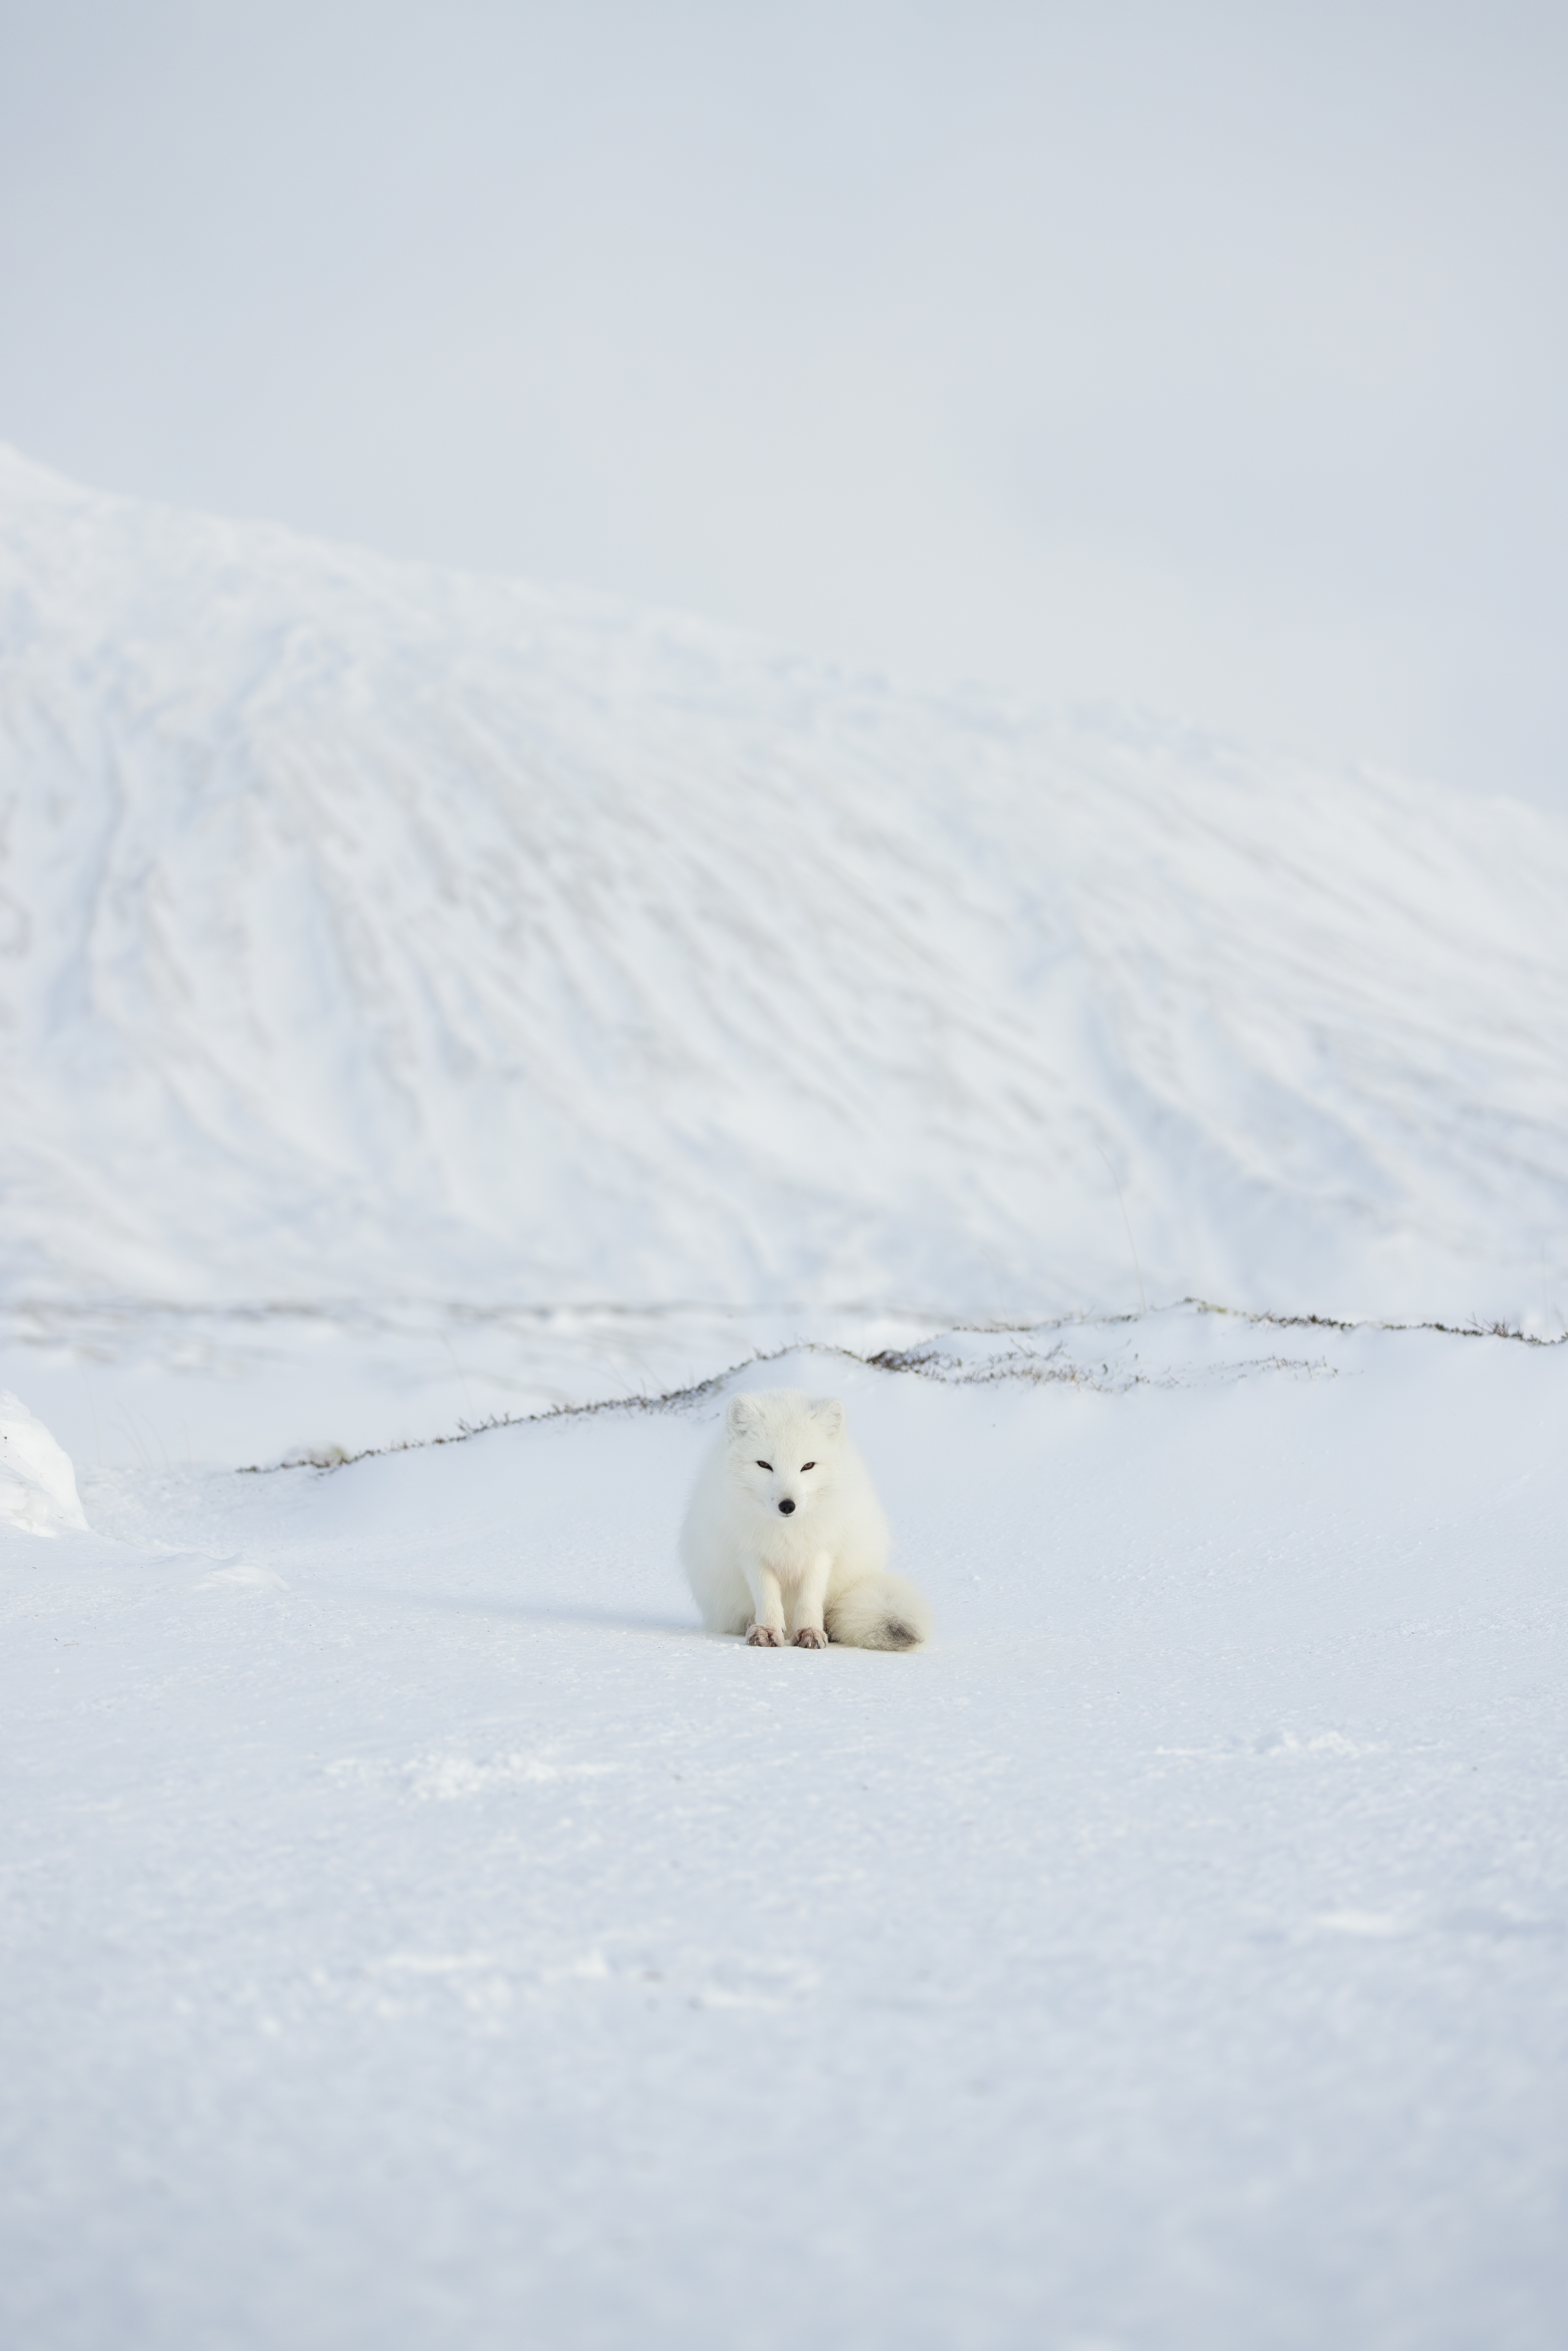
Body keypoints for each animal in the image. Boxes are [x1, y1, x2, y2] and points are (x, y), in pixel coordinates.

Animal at [680, 1388, 931, 1650]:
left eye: (808, 1466)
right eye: (764, 1465)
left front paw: (810, 1632)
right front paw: (768, 1631)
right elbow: (767, 1596)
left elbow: (810, 1597)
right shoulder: (752, 1554)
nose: (787, 1505)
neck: (787, 1533)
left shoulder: (821, 1552)